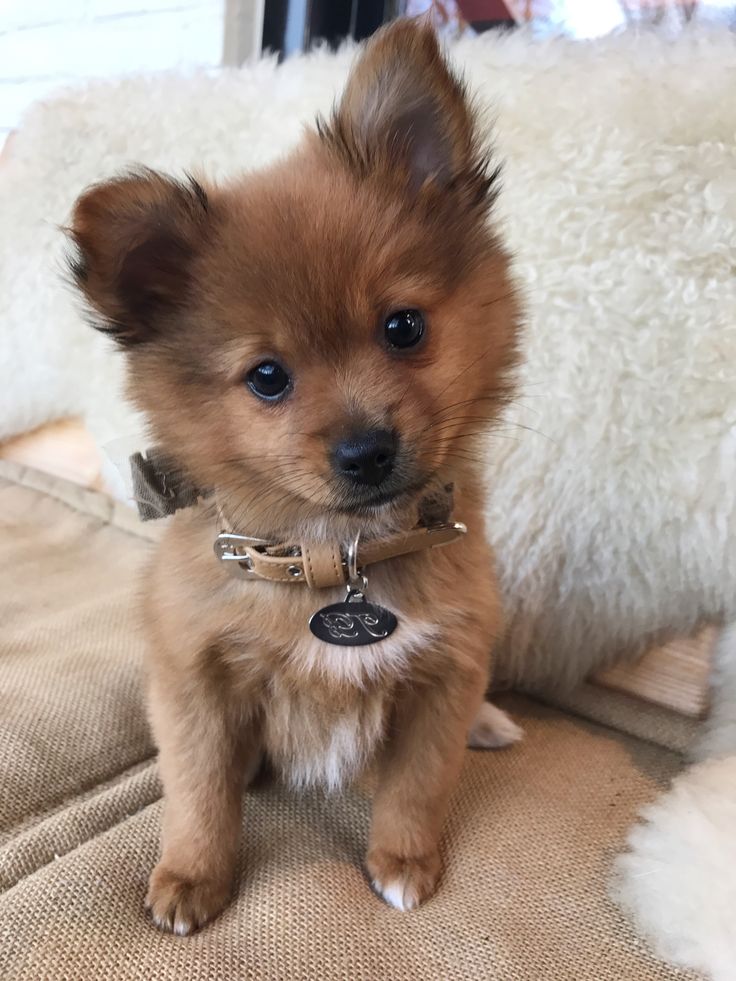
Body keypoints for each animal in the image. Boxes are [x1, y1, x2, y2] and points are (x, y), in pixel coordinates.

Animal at [69, 17, 524, 936]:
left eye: (404, 327)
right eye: (268, 378)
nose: (366, 450)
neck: (337, 552)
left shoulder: (445, 675)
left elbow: (418, 784)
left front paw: (404, 862)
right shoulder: (197, 683)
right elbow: (199, 790)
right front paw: (192, 874)